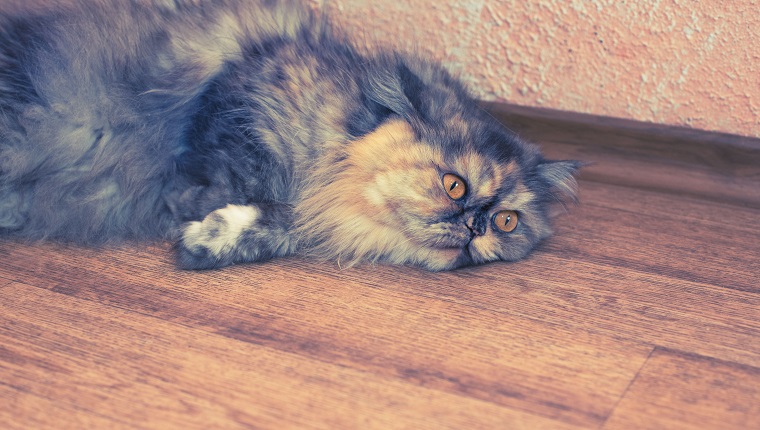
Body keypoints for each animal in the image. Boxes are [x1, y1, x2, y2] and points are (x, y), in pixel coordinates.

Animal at [0, 0, 580, 272]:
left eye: (507, 222)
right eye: (454, 185)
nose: (476, 225)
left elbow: (283, 225)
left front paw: (215, 239)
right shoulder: (238, 97)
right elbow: (251, 182)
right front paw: (193, 208)